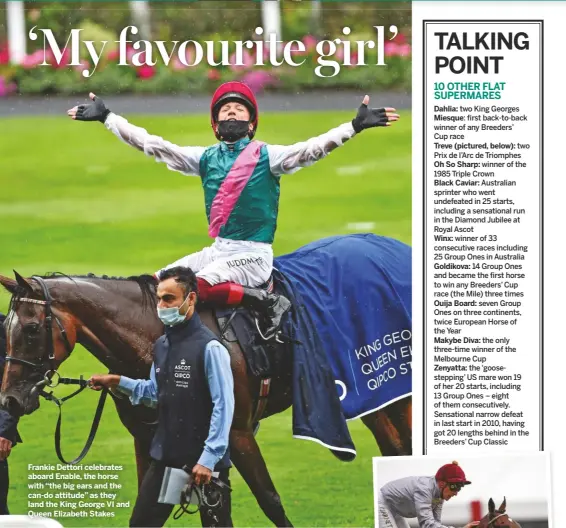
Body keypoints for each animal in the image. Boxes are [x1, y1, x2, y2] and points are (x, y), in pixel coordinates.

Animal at [0, 270, 412, 524]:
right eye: (6, 327)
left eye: (32, 329)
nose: (10, 401)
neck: (156, 337)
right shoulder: (151, 441)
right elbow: (161, 511)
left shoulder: (235, 435)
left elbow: (269, 502)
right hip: (373, 397)